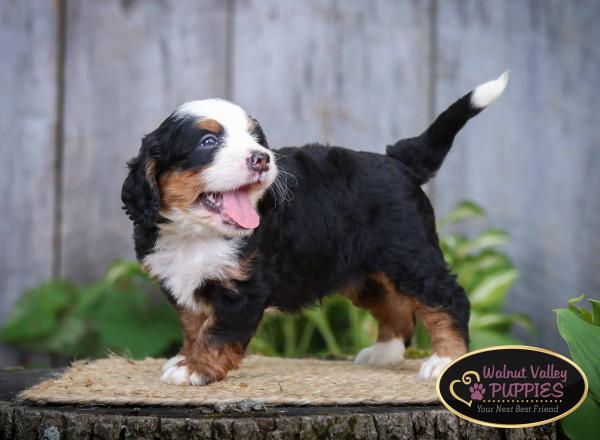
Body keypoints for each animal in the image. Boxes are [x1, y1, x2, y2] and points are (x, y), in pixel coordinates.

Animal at [120, 72, 506, 384]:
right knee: (394, 307)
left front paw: (195, 369)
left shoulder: (245, 287)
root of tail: (397, 160)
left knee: (448, 298)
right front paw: (186, 356)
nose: (262, 158)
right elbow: (193, 325)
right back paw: (384, 353)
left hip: (409, 255)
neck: (196, 234)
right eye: (208, 142)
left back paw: (444, 359)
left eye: (256, 139)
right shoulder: (180, 280)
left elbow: (217, 331)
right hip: (362, 273)